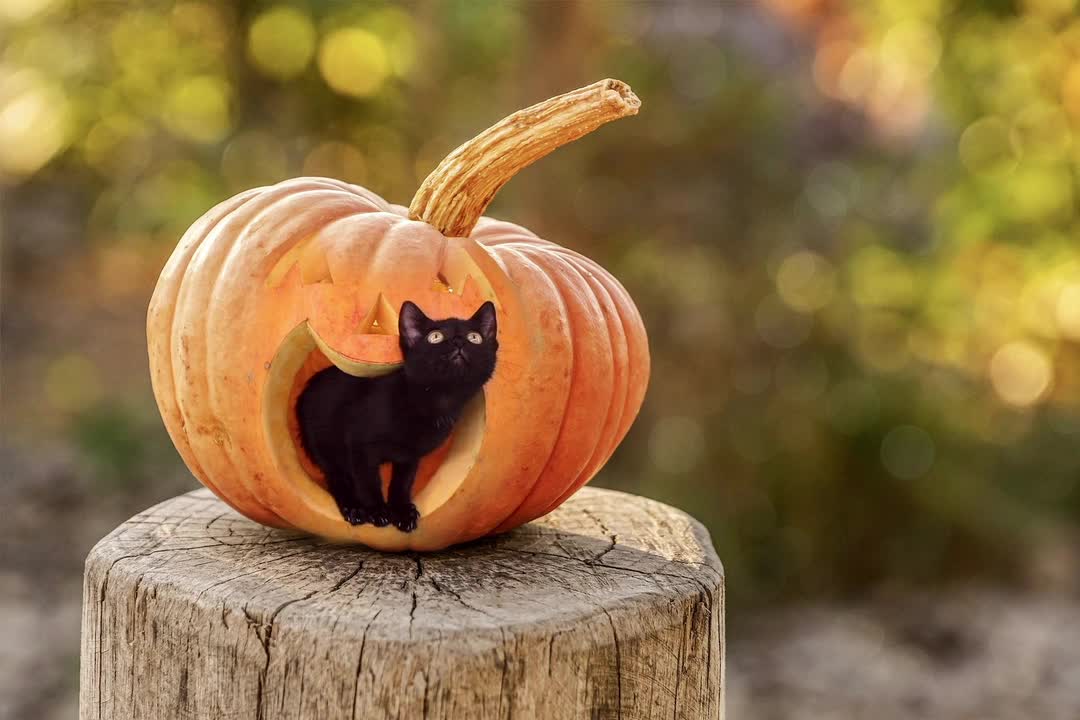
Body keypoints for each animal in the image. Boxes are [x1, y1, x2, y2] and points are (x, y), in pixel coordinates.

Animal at [295, 297, 496, 528]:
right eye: (435, 337)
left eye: (475, 337)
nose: (458, 342)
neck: (436, 400)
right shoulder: (360, 445)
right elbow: (368, 481)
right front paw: (376, 510)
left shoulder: (410, 456)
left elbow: (403, 482)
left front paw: (401, 511)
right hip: (325, 443)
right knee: (337, 477)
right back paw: (353, 508)